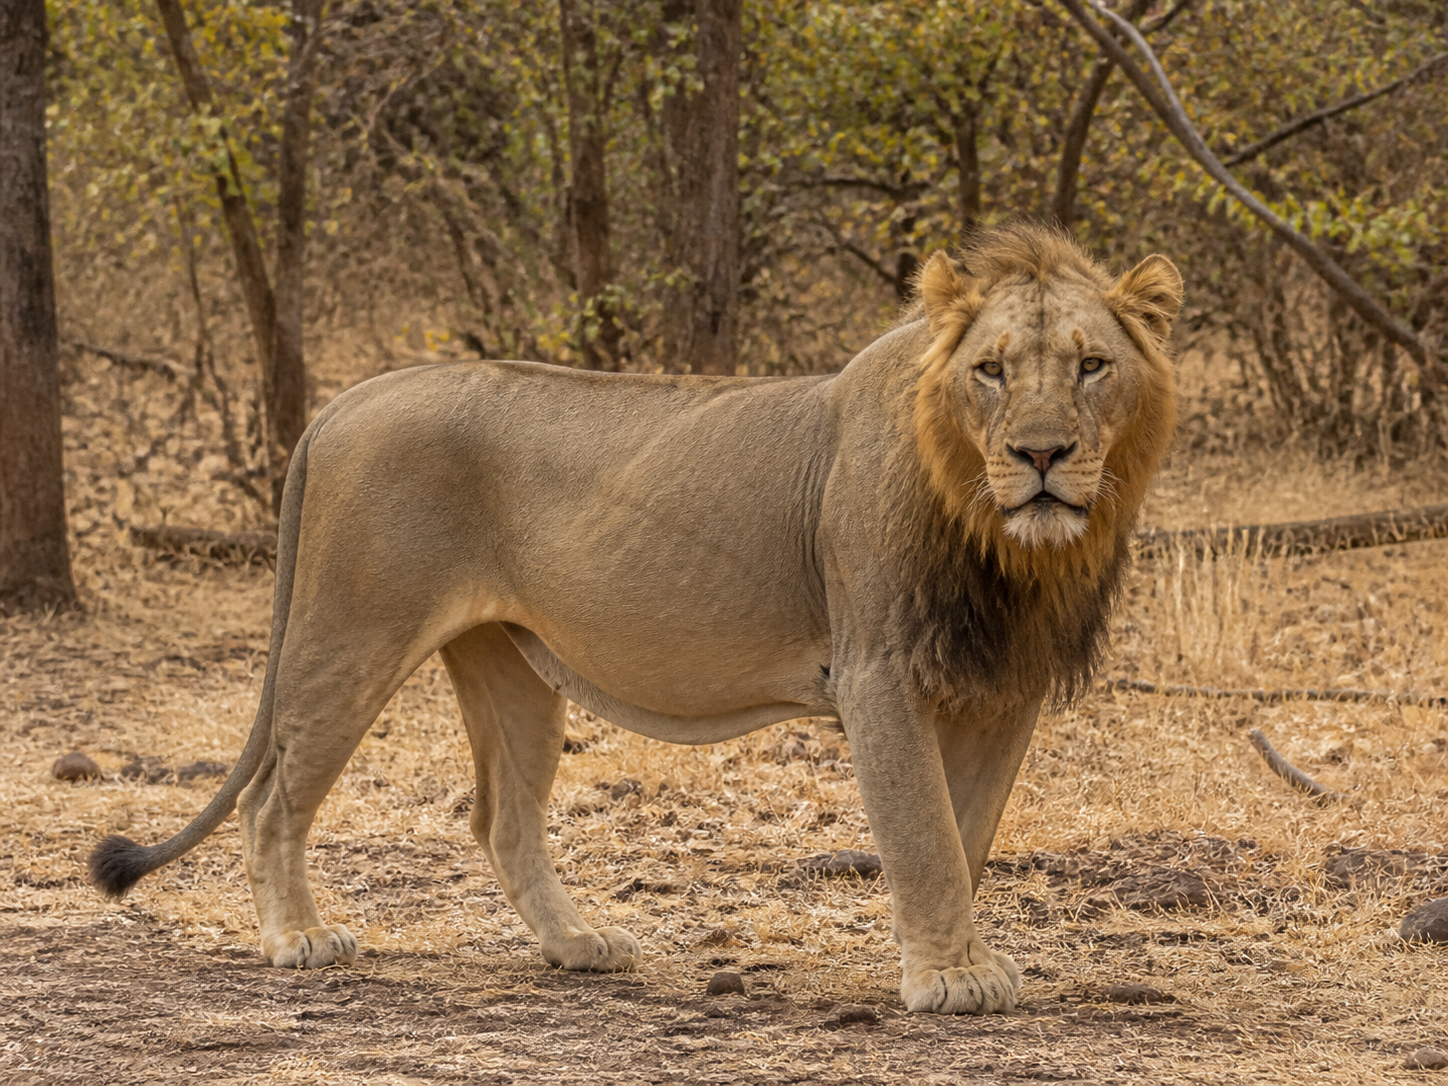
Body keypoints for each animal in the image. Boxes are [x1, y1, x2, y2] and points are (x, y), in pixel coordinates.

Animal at [90, 223, 1181, 1015]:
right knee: (273, 796)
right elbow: (922, 835)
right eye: (990, 370)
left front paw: (952, 958)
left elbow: (964, 832)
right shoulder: (878, 671)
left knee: (499, 818)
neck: (1006, 548)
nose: (1041, 455)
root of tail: (339, 403)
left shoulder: (1001, 689)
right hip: (350, 633)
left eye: (1090, 365)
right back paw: (300, 941)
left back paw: (578, 946)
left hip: (509, 667)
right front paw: (950, 979)